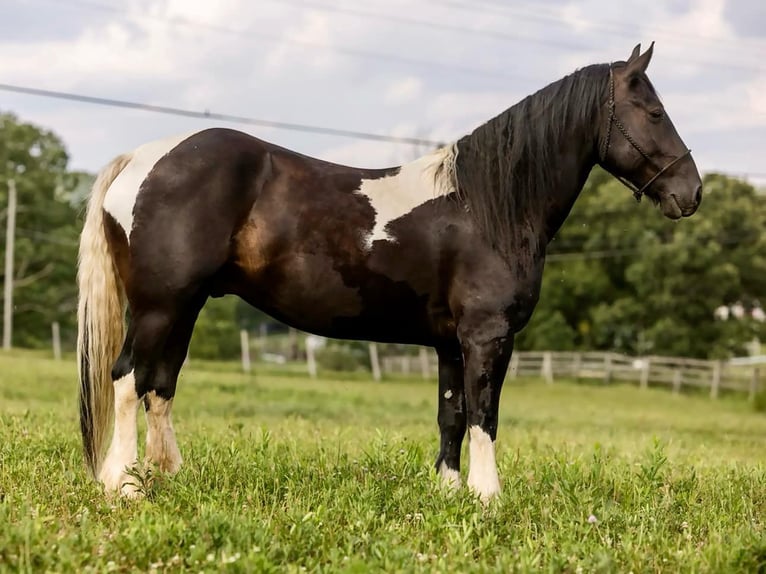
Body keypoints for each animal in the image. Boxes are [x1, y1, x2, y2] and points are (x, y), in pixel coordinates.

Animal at [76, 44, 704, 504]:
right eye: (654, 113)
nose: (692, 192)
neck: (486, 207)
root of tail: (140, 159)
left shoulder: (451, 343)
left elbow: (452, 414)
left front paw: (449, 492)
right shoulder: (487, 336)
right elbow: (484, 413)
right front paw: (488, 496)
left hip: (185, 306)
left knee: (160, 383)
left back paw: (168, 475)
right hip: (160, 306)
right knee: (128, 378)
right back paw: (124, 486)